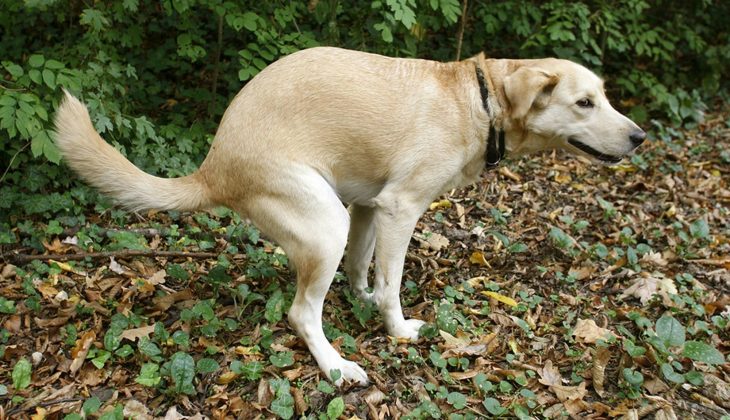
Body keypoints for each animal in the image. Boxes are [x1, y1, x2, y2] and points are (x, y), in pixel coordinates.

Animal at [54, 46, 644, 384]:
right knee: (300, 314)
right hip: (325, 225)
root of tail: (212, 167)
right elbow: (393, 284)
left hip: (338, 216)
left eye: (604, 96)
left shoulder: (370, 206)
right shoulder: (401, 208)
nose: (640, 137)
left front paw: (362, 299)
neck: (478, 100)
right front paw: (397, 329)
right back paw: (336, 366)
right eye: (585, 103)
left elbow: (367, 270)